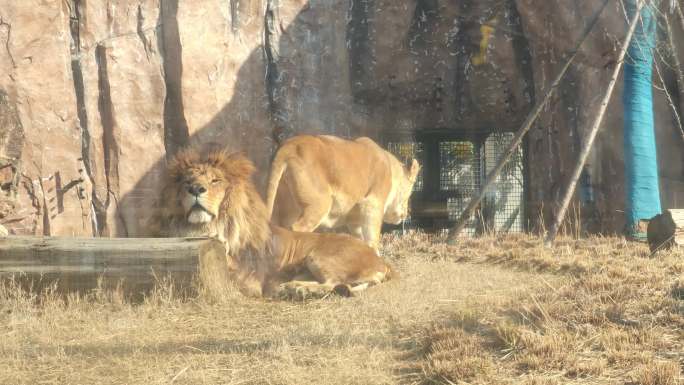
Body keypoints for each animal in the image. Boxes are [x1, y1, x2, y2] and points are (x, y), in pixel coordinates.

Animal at [152, 147, 392, 296]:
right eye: (186, 182)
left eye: (215, 180)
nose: (195, 189)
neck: (211, 225)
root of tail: (381, 262)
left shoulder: (251, 279)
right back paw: (291, 287)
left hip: (319, 255)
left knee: (333, 283)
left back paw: (298, 289)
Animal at [264, 134, 420, 249]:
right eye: (409, 195)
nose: (405, 214)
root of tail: (287, 146)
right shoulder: (373, 203)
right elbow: (372, 237)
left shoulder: (354, 219)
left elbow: (361, 239)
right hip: (319, 204)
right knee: (298, 228)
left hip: (284, 209)